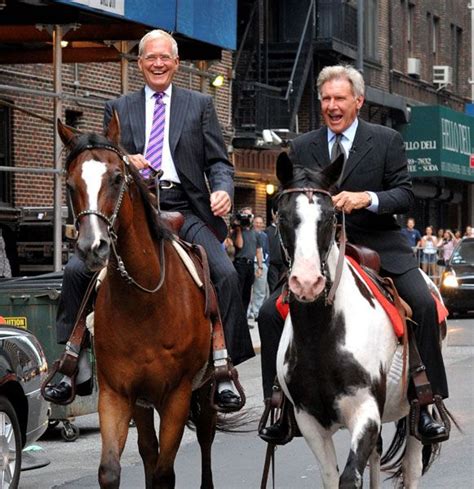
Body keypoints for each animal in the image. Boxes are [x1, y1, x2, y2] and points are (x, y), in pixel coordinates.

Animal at [57, 115, 218, 488]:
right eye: (70, 185)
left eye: (117, 178)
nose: (92, 247)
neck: (144, 301)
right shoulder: (117, 393)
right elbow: (112, 470)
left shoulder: (177, 395)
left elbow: (164, 472)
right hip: (143, 403)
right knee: (147, 449)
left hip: (204, 390)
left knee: (205, 438)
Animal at [276, 153, 438, 488]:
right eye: (283, 217)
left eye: (329, 217)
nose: (307, 282)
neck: (321, 334)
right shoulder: (309, 421)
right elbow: (331, 477)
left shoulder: (366, 412)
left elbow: (349, 478)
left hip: (417, 412)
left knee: (412, 466)